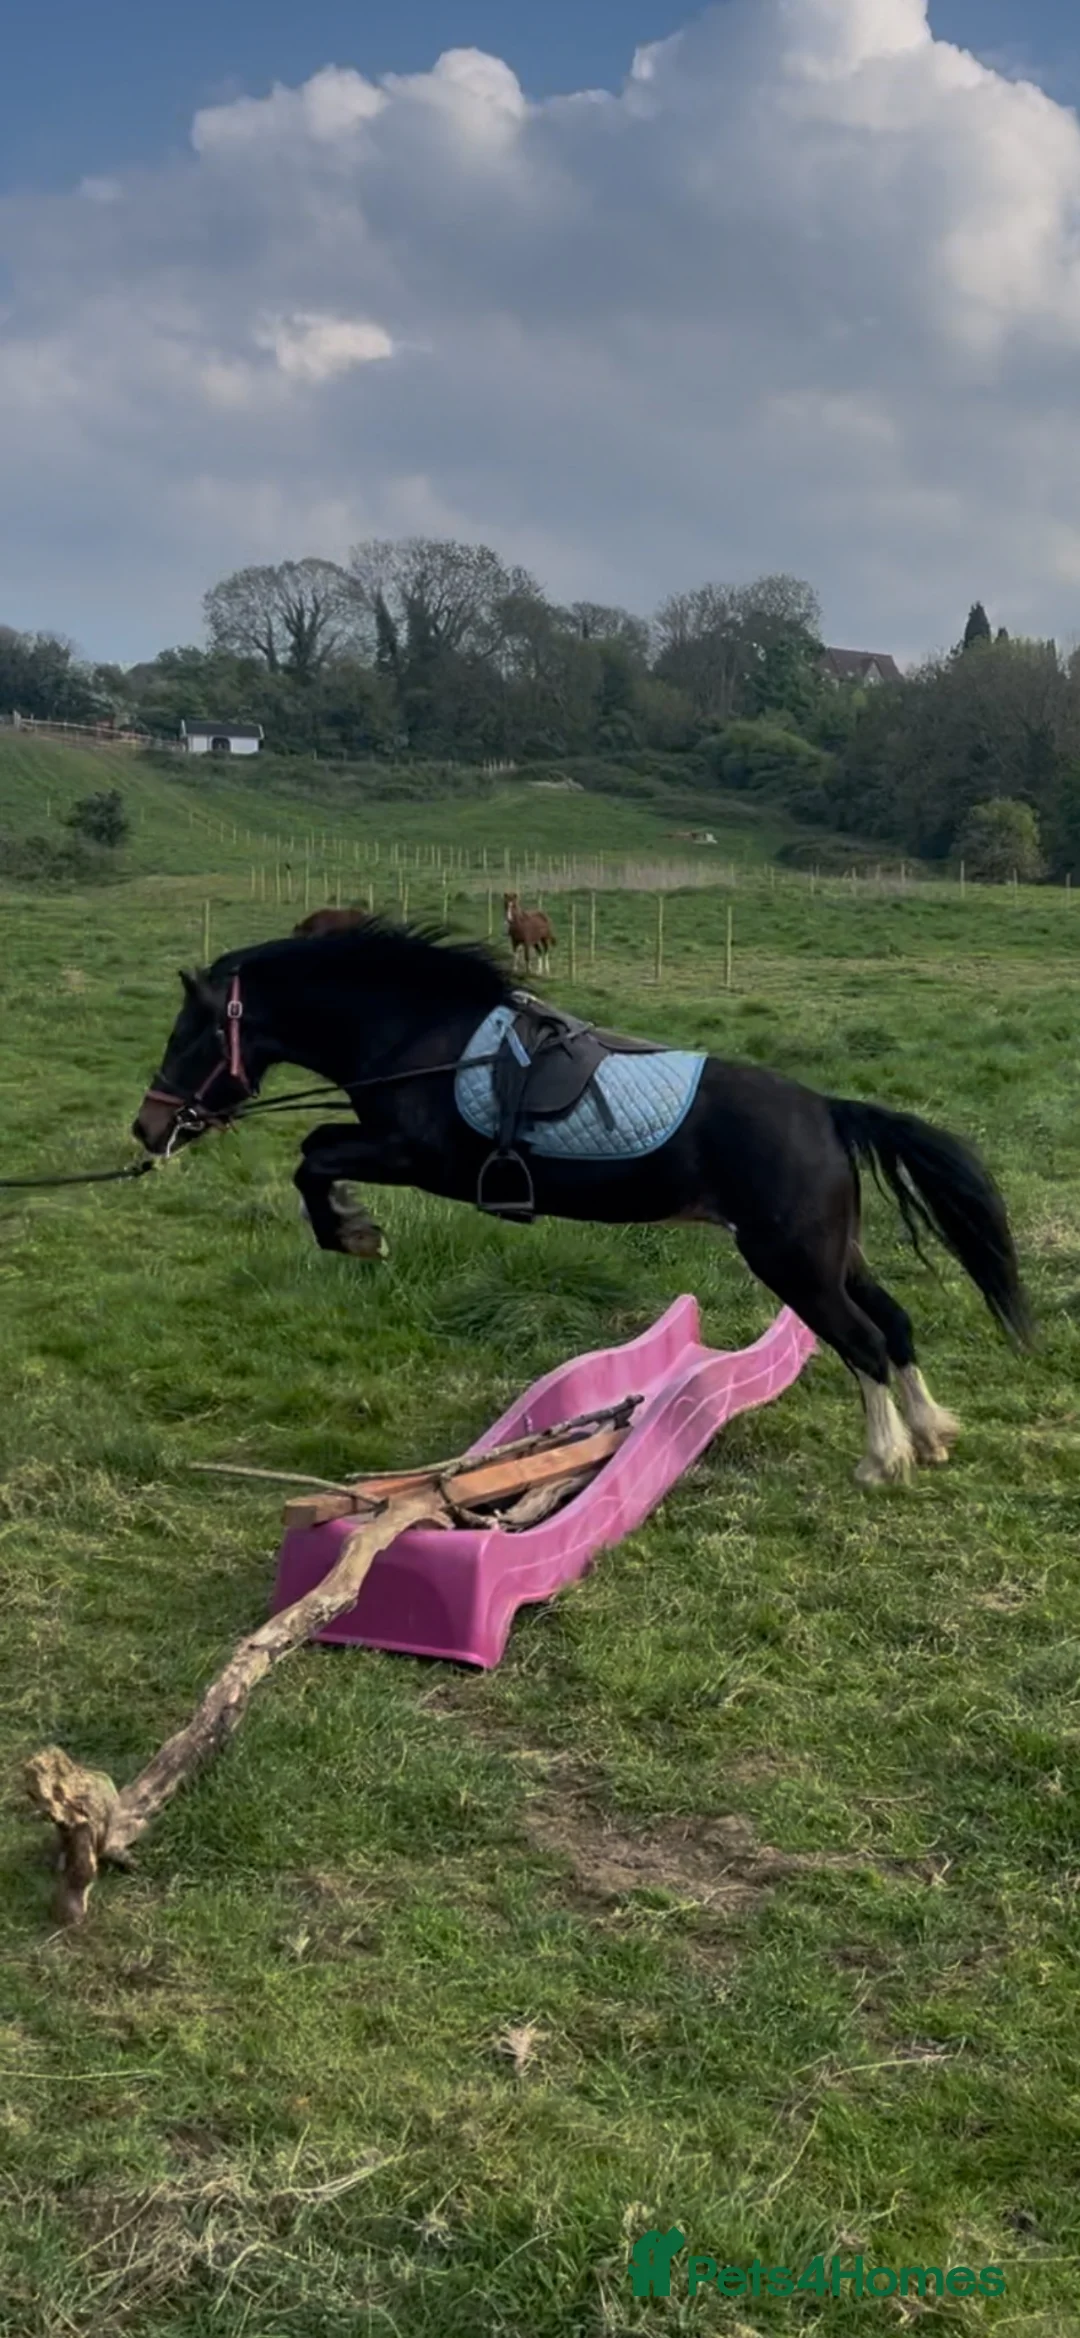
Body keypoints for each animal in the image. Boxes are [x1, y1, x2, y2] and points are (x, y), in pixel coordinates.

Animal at [133, 917, 1030, 1488]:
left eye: (193, 1037)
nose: (148, 1129)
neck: (424, 1038)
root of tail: (828, 1110)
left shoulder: (417, 1157)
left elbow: (312, 1157)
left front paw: (354, 1232)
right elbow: (316, 1149)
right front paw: (354, 1226)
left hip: (793, 1263)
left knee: (865, 1343)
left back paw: (884, 1459)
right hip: (834, 1255)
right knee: (897, 1326)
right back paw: (931, 1435)